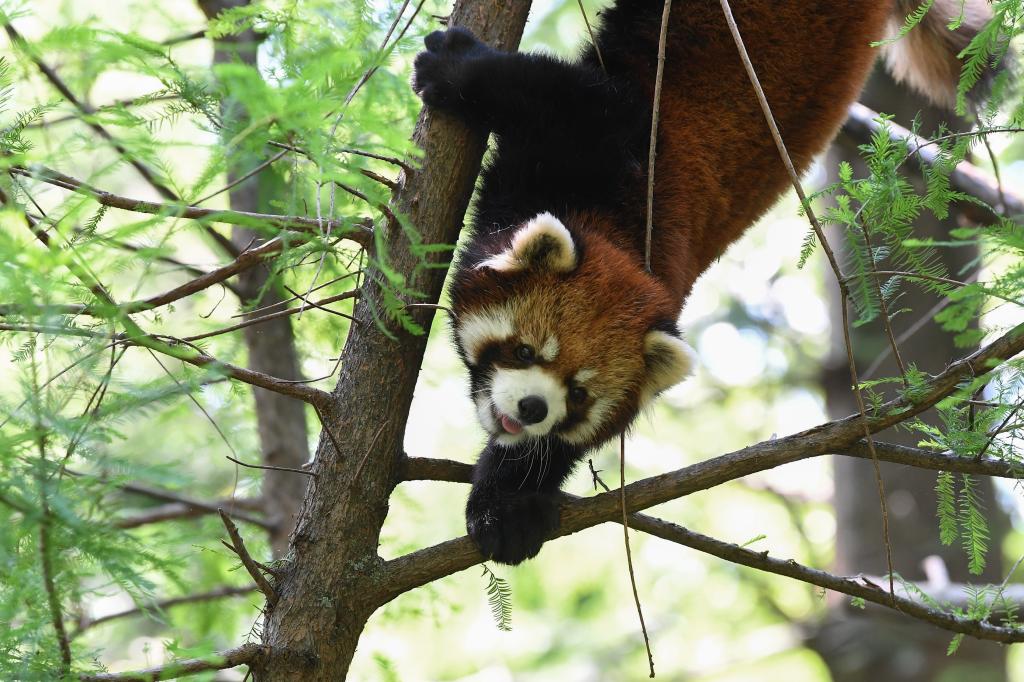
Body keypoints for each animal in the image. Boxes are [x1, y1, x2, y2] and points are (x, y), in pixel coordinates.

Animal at [411, 0, 995, 561]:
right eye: (526, 351)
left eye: (578, 395)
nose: (533, 407)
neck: (616, 223)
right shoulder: (601, 137)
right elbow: (543, 89)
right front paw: (454, 62)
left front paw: (512, 503)